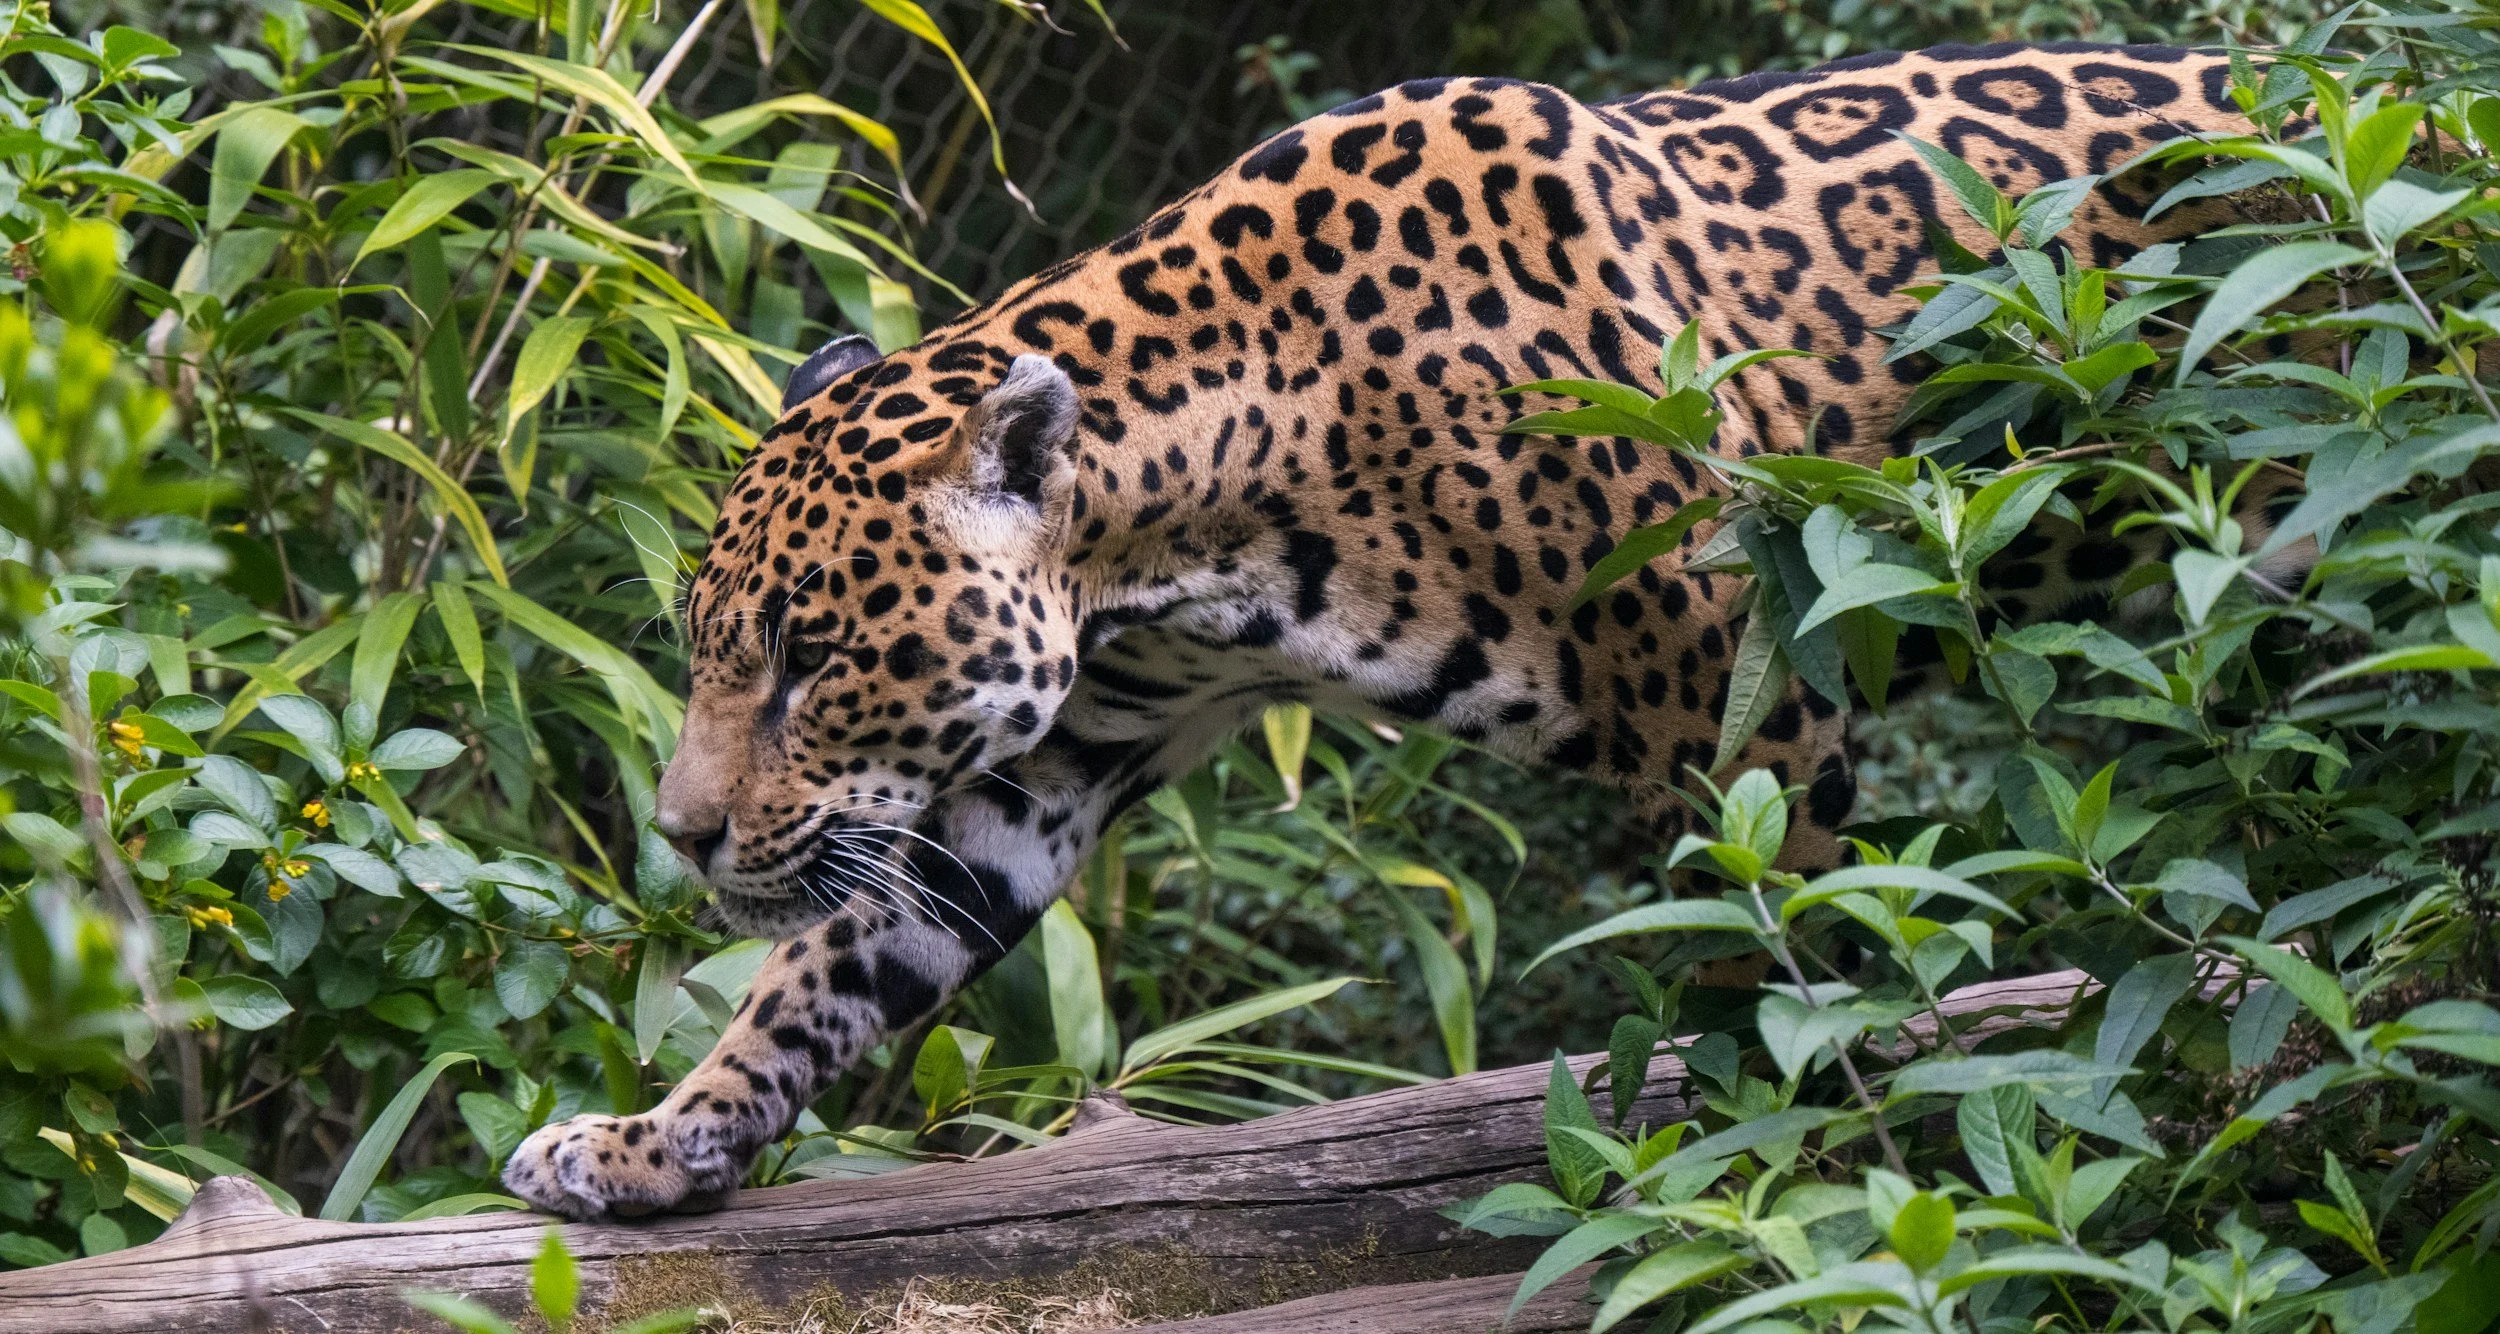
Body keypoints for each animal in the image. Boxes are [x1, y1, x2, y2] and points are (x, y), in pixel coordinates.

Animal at [505, 41, 2279, 1220]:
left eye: (812, 658)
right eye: (716, 649)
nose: (680, 835)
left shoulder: (1745, 706)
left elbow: (1775, 961)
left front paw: (1786, 1177)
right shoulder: (1047, 760)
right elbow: (825, 967)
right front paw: (647, 1140)